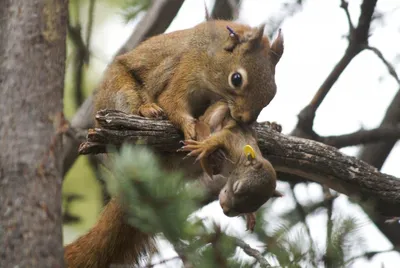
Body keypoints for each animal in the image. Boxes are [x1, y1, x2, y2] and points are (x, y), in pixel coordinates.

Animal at [93, 18, 284, 139]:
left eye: (273, 92)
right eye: (236, 79)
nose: (244, 119)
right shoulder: (186, 70)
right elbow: (171, 100)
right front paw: (189, 126)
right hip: (120, 90)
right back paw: (147, 109)